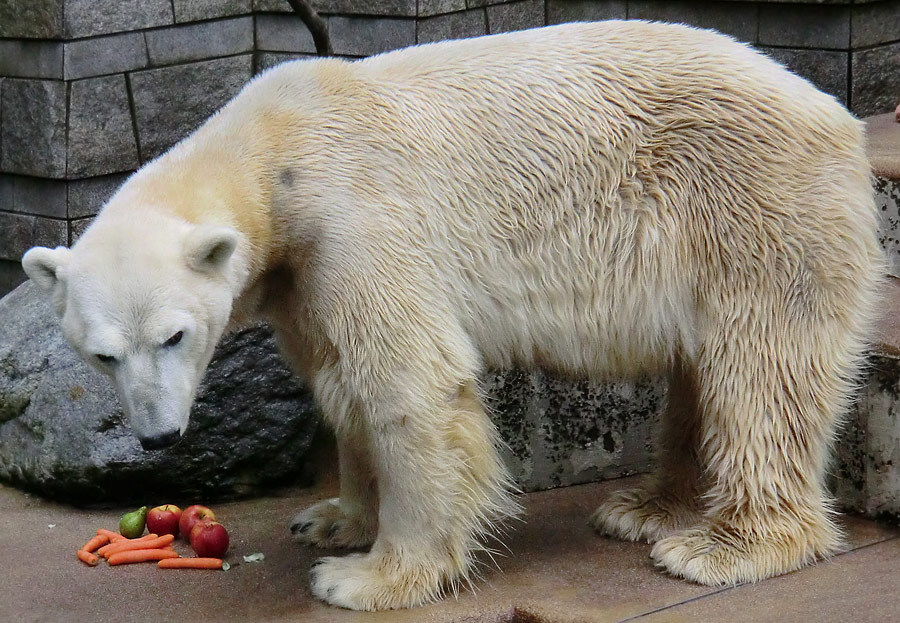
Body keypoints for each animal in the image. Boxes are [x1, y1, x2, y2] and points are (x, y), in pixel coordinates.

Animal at [21, 20, 880, 616]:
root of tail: (839, 118)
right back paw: (643, 508)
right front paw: (332, 519)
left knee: (760, 369)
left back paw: (722, 546)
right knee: (703, 369)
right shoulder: (302, 273)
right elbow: (340, 380)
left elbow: (408, 382)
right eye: (101, 354)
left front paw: (368, 577)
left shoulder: (356, 220)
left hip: (753, 208)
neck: (274, 149)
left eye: (175, 334)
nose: (160, 436)